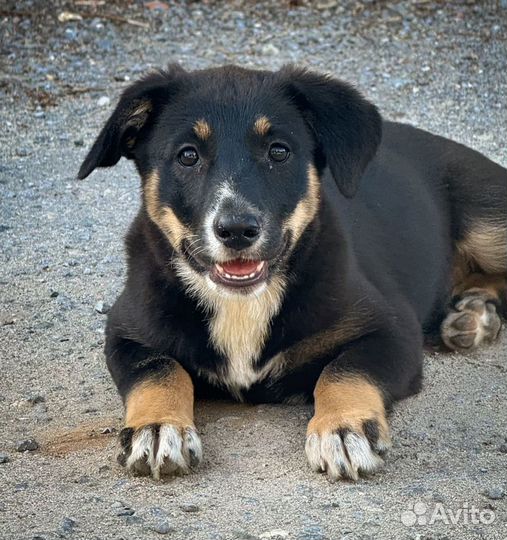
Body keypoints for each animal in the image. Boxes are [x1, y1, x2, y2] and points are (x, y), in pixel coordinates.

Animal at [78, 64, 507, 480]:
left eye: (279, 151)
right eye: (187, 156)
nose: (237, 230)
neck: (242, 303)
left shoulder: (393, 328)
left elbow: (343, 369)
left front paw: (343, 428)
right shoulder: (126, 330)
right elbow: (158, 369)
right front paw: (158, 427)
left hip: (487, 221)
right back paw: (472, 313)